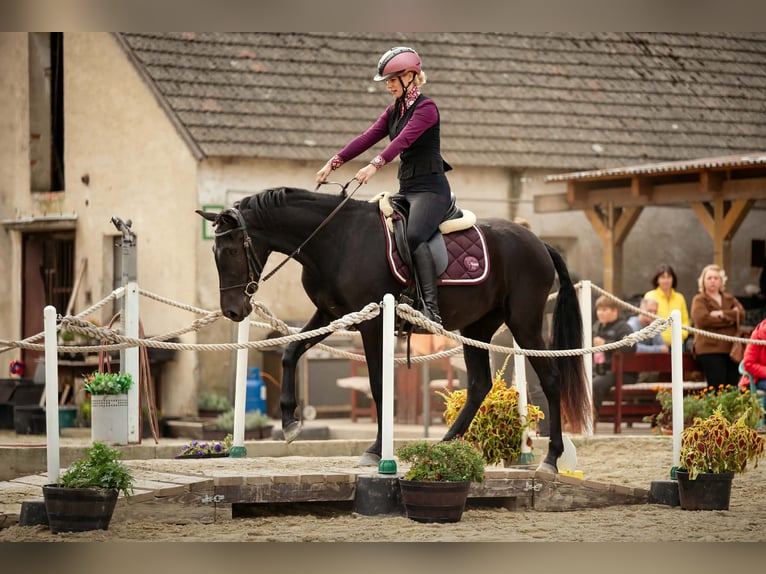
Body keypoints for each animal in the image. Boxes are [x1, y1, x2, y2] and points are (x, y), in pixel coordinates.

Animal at [197, 186, 590, 472]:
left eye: (231, 251)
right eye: (214, 253)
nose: (233, 310)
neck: (336, 240)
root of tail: (538, 242)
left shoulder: (371, 323)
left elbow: (377, 385)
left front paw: (375, 450)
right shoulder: (331, 314)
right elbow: (292, 351)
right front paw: (291, 421)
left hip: (525, 322)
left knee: (551, 379)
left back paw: (551, 459)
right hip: (477, 327)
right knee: (480, 384)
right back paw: (442, 447)